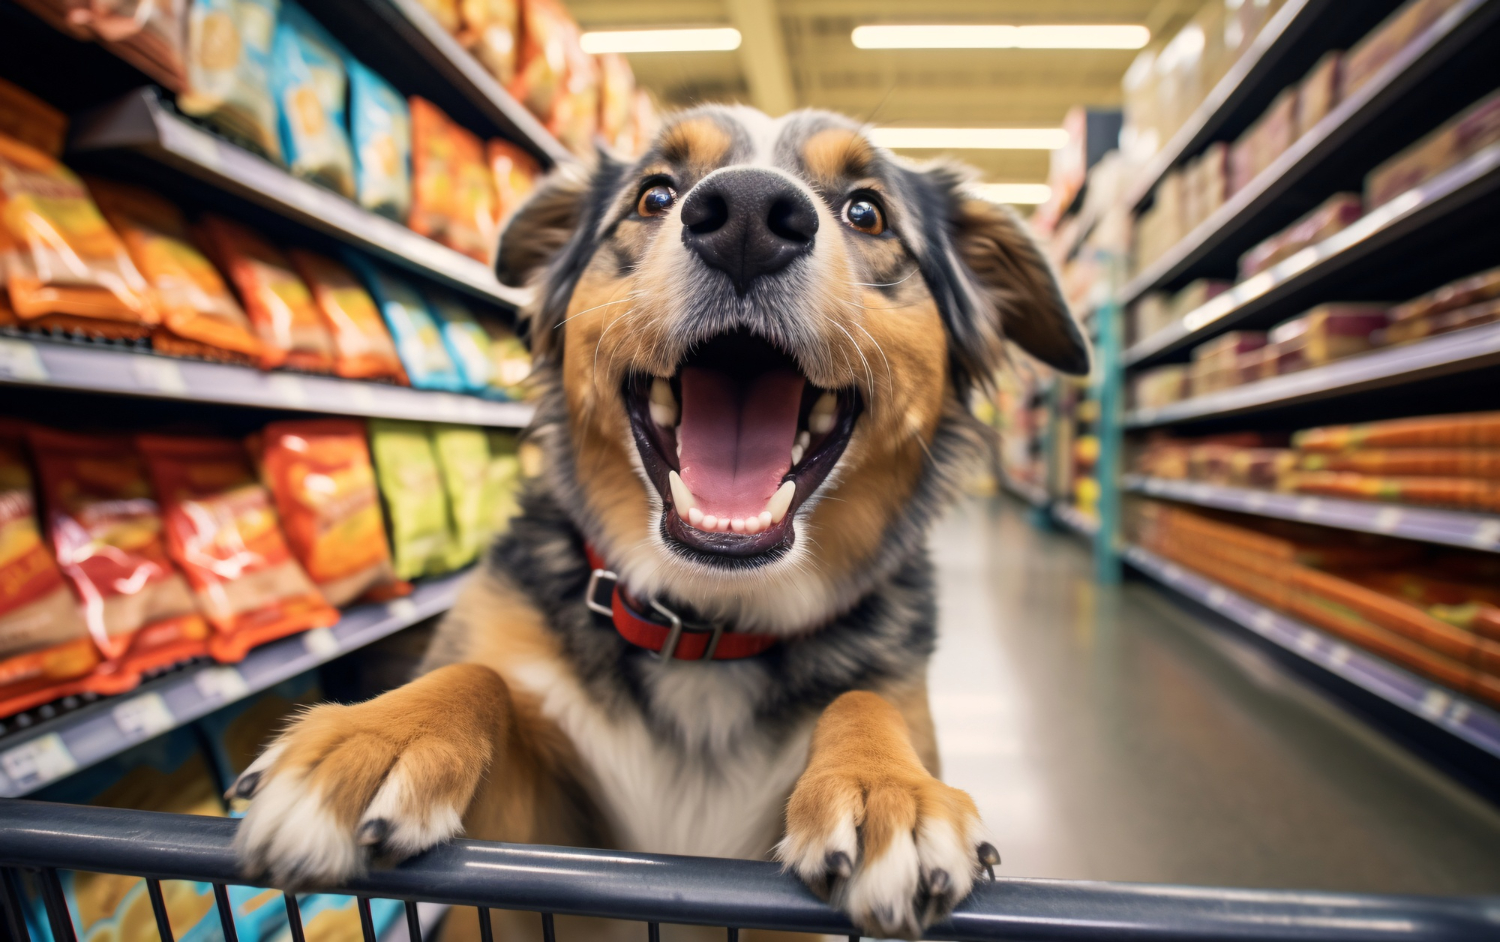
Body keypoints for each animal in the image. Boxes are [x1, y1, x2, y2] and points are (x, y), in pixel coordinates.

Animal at [228, 105, 1086, 942]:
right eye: (655, 196)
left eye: (866, 211)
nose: (748, 216)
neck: (707, 628)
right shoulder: (543, 856)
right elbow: (478, 676)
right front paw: (373, 740)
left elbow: (863, 700)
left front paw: (890, 790)